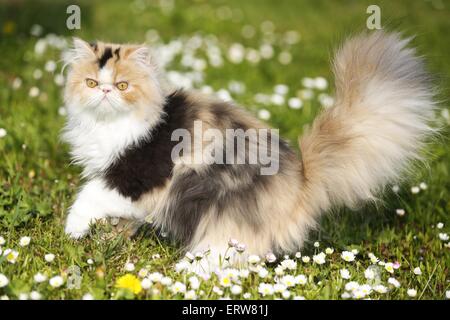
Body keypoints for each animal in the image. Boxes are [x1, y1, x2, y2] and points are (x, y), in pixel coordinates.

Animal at [60, 31, 436, 272]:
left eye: (122, 85)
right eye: (91, 83)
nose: (105, 91)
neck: (109, 125)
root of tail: (302, 180)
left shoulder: (136, 174)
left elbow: (89, 195)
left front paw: (73, 229)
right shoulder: (130, 188)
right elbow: (118, 216)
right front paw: (108, 240)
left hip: (225, 221)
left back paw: (188, 274)